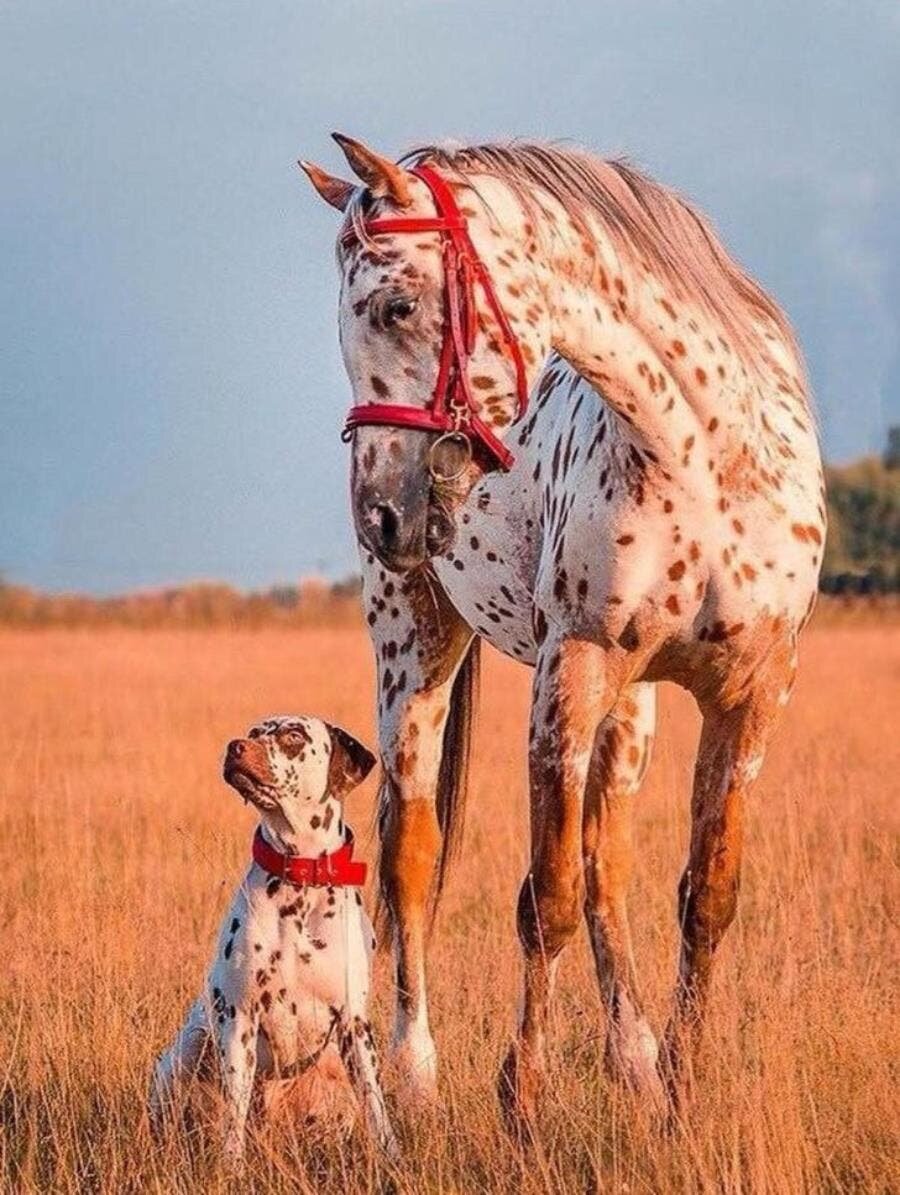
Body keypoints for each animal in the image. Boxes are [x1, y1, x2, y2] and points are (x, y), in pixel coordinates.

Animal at [149, 712, 394, 1161]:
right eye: (253, 732)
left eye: (293, 735)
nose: (235, 747)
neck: (300, 878)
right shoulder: (240, 1019)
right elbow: (233, 1114)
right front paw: (230, 1166)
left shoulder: (355, 1023)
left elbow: (375, 1104)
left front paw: (392, 1156)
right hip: (186, 1051)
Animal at [298, 135, 827, 1132]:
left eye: (396, 304)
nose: (379, 514)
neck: (703, 454)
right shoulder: (570, 672)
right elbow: (545, 898)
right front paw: (522, 1104)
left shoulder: (752, 697)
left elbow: (703, 895)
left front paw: (680, 1100)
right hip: (414, 652)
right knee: (413, 856)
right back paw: (416, 1074)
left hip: (636, 705)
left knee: (607, 860)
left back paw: (636, 1060)